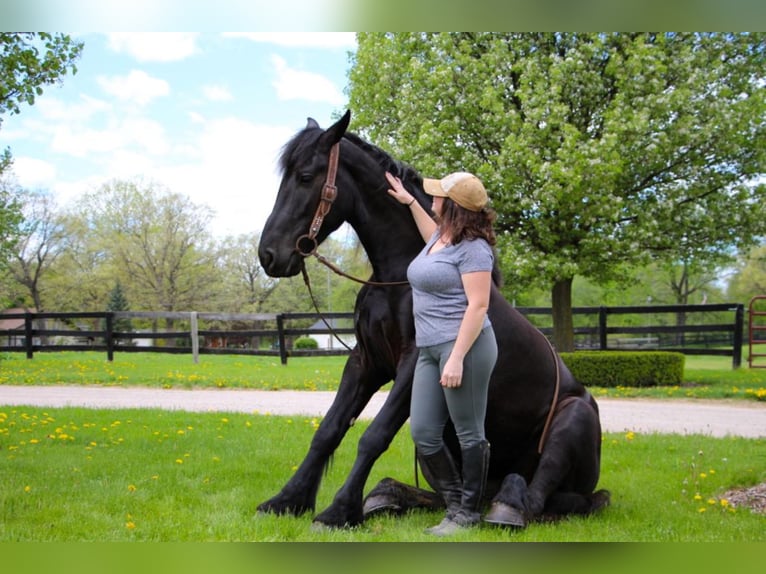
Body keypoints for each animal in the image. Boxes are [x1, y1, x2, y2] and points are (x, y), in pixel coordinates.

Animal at [258, 111, 612, 532]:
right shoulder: (366, 361)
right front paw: (288, 500)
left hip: (572, 419)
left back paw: (509, 505)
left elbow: (373, 436)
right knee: (452, 491)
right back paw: (389, 496)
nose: (269, 255)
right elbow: (328, 430)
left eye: (306, 176)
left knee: (547, 498)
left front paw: (338, 510)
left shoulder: (415, 363)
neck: (400, 274)